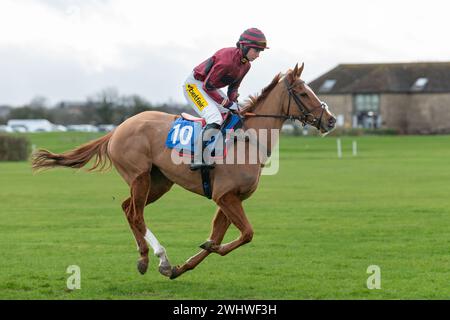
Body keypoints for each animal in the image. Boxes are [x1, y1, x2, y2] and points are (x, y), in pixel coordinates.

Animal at [31, 63, 336, 278]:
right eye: (303, 93)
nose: (331, 121)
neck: (249, 138)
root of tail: (118, 128)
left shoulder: (230, 198)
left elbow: (220, 237)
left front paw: (187, 264)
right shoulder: (225, 196)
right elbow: (246, 234)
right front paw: (196, 254)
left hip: (159, 182)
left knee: (128, 208)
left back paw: (148, 258)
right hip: (140, 177)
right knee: (135, 213)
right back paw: (158, 258)